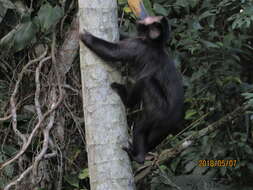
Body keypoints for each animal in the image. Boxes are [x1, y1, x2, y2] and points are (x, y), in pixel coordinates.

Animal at [80, 15, 183, 163]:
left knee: (145, 84)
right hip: (163, 129)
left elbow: (114, 52)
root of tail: (175, 118)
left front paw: (86, 37)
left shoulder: (138, 45)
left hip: (158, 111)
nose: (146, 20)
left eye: (154, 23)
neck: (155, 44)